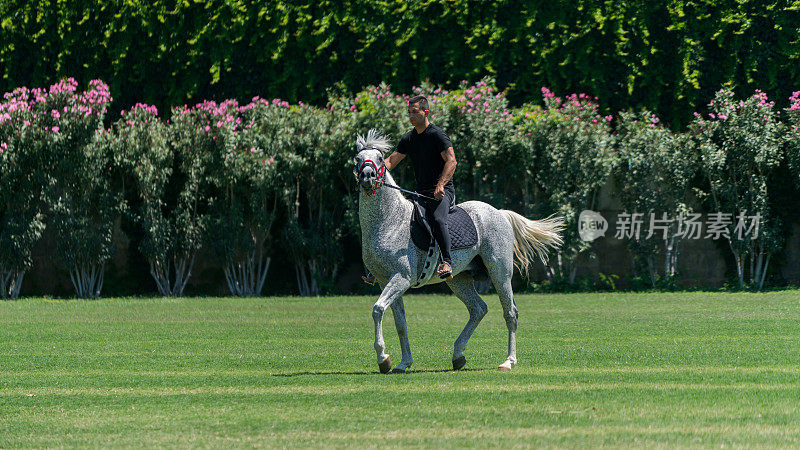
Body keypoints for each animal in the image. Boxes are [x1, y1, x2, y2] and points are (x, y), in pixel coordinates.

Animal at [356, 129, 564, 372]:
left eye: (380, 159)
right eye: (358, 159)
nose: (367, 176)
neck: (389, 221)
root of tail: (499, 213)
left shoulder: (401, 277)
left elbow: (378, 309)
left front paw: (383, 358)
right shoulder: (384, 280)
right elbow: (400, 323)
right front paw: (402, 362)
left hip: (500, 273)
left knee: (510, 312)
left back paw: (508, 361)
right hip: (459, 279)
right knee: (478, 309)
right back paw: (458, 355)